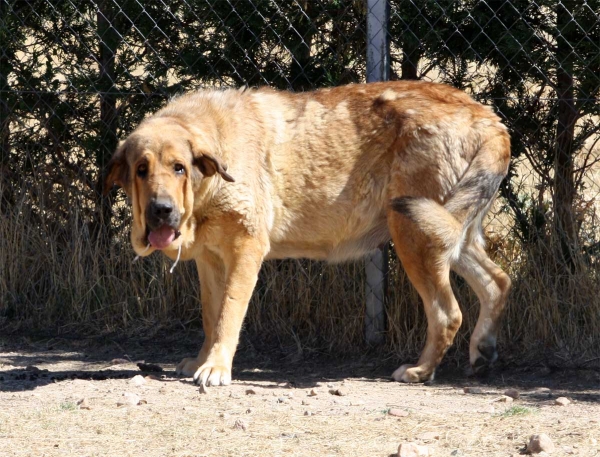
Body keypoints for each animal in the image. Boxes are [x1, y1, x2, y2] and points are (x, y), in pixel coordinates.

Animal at [106, 80, 510, 382]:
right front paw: (203, 360)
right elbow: (211, 315)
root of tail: (488, 119)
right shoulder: (210, 260)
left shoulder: (245, 251)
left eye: (179, 167)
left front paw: (216, 368)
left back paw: (420, 370)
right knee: (497, 281)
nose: (161, 210)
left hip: (414, 235)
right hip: (451, 234)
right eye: (141, 170)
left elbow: (228, 315)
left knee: (448, 313)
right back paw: (482, 351)